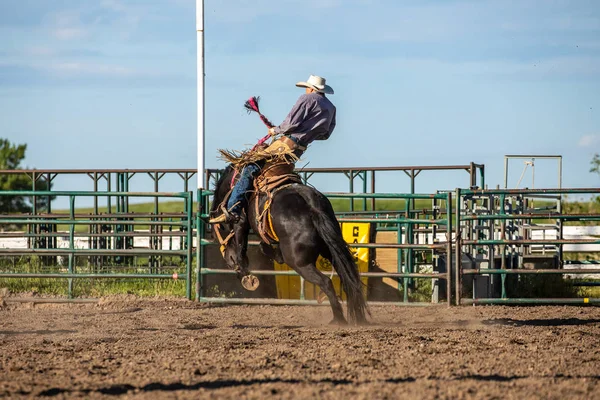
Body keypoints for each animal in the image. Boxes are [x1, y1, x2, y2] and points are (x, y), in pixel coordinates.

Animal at [211, 166, 370, 324]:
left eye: (220, 227)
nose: (229, 259)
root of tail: (311, 206)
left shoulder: (241, 220)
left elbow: (241, 242)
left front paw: (244, 273)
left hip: (299, 262)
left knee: (326, 282)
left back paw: (338, 319)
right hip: (331, 250)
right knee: (349, 278)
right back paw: (359, 317)